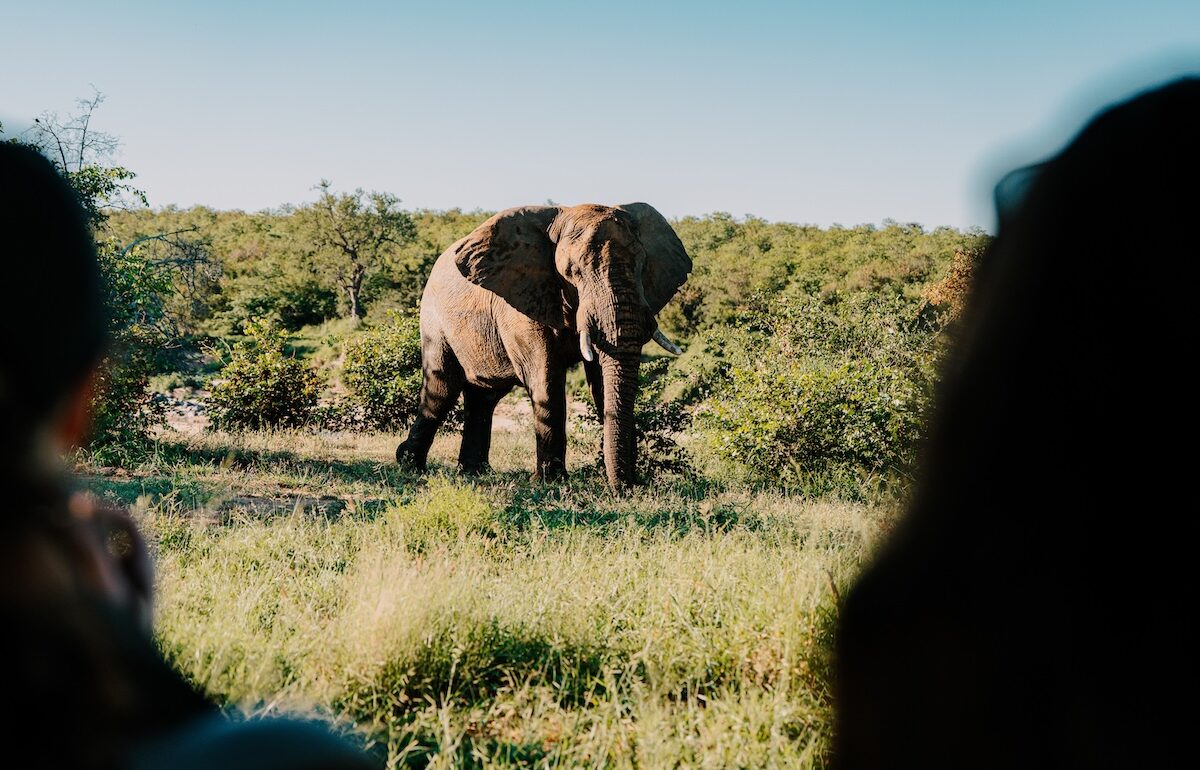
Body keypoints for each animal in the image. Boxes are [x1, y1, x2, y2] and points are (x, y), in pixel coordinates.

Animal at [394, 202, 691, 489]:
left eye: (642, 267)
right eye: (573, 272)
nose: (625, 488)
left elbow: (601, 383)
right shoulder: (522, 302)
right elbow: (546, 380)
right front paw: (551, 481)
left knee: (484, 396)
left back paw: (473, 471)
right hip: (434, 320)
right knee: (442, 388)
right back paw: (408, 463)